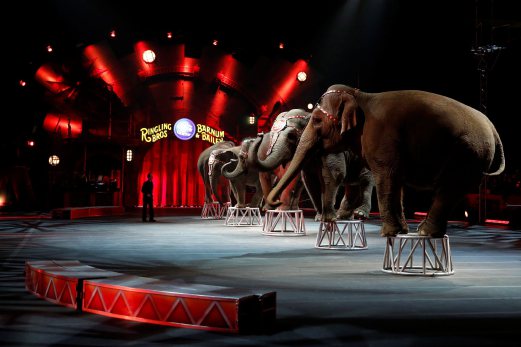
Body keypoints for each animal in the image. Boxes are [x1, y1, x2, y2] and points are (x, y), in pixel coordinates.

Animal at [268, 83, 504, 239]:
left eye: (316, 120)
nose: (275, 204)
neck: (360, 95)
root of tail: (493, 129)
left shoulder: (380, 137)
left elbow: (384, 178)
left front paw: (389, 233)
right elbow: (394, 182)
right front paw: (400, 231)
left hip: (468, 153)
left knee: (447, 189)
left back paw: (423, 232)